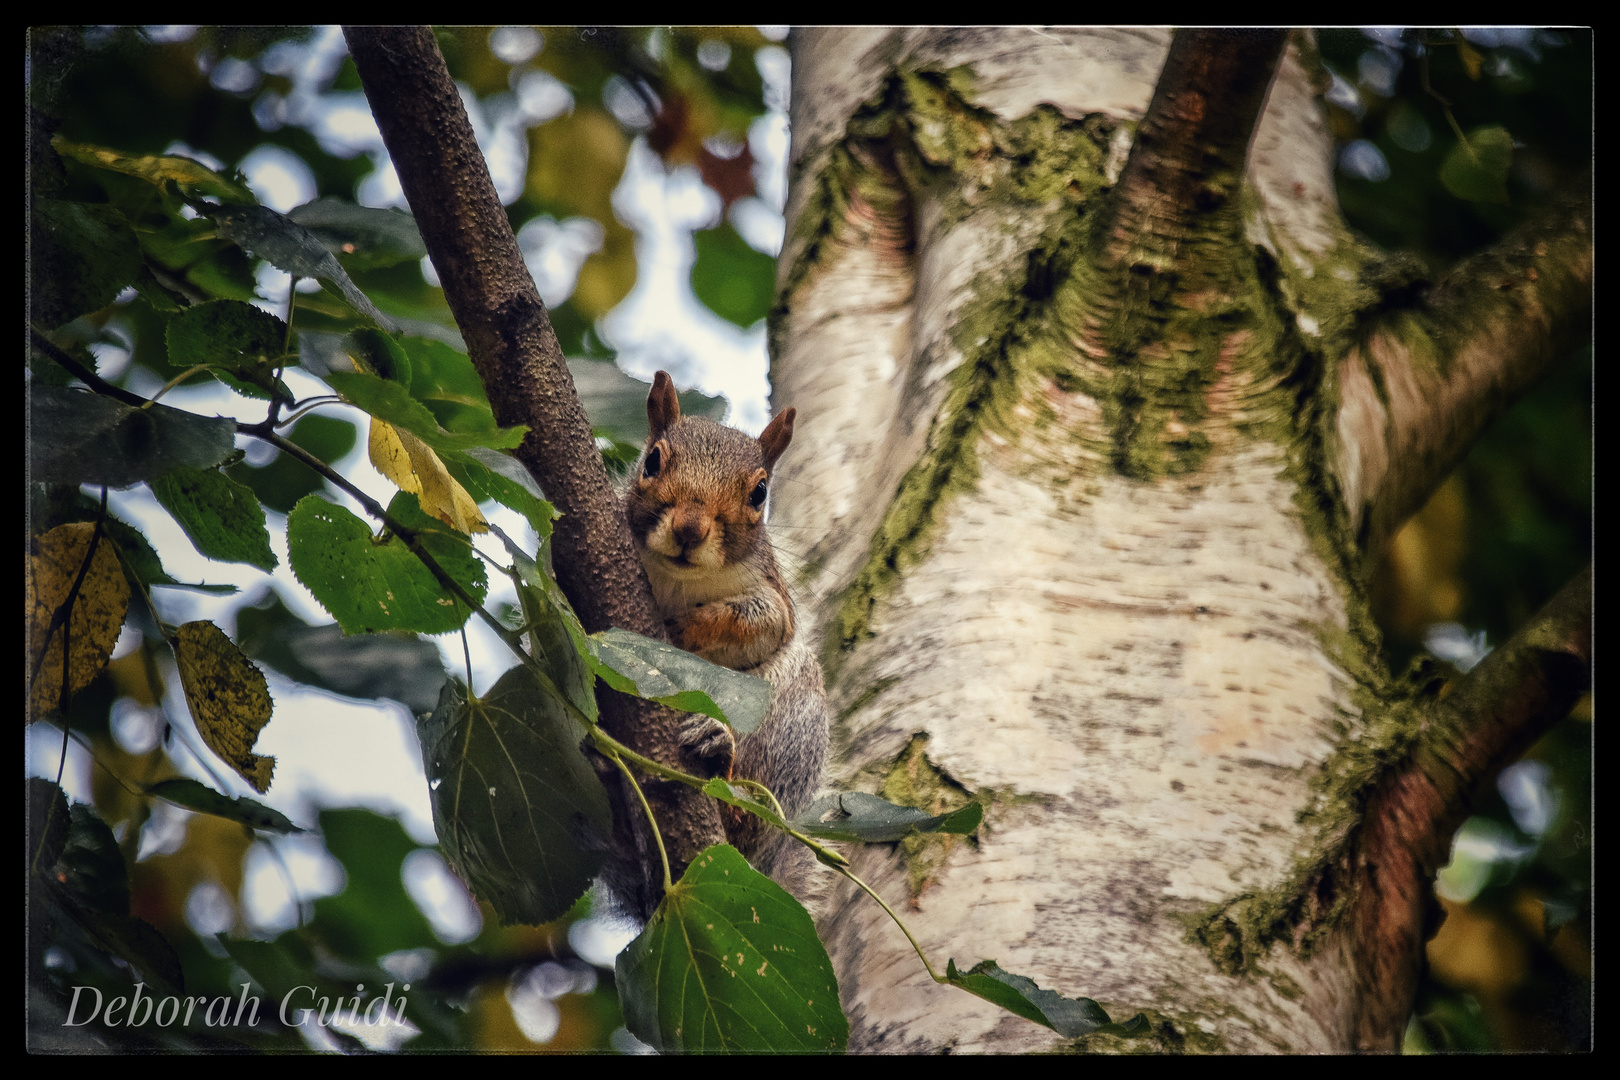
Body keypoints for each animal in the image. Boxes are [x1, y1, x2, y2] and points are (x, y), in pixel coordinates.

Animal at [622, 372, 829, 893]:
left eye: (759, 493)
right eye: (652, 461)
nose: (690, 529)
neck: (680, 579)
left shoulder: (772, 597)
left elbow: (755, 623)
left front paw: (679, 629)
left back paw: (718, 755)